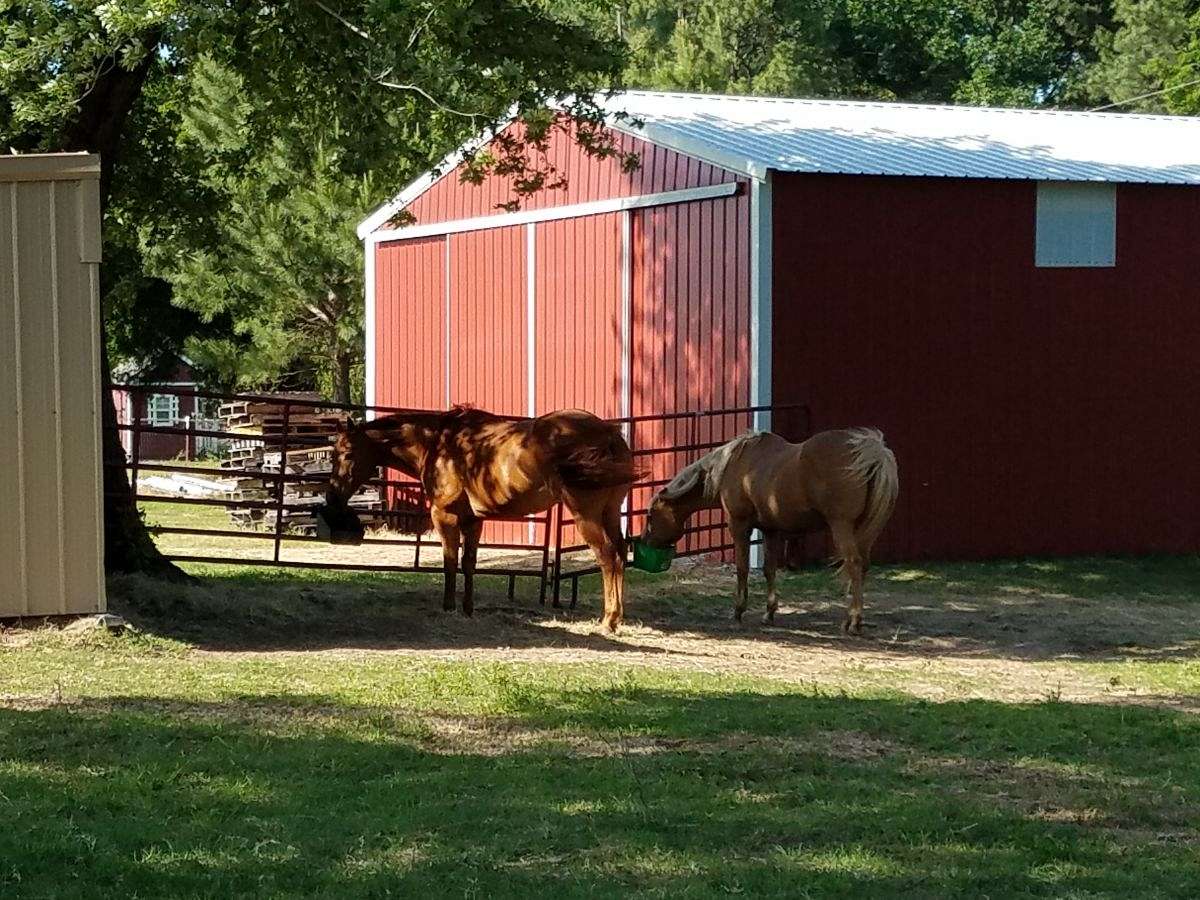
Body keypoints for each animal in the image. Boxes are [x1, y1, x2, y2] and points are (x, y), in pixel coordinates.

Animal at [318, 406, 639, 631]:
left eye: (346, 454)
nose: (332, 497)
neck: (438, 444)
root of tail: (608, 434)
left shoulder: (444, 516)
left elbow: (449, 562)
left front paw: (448, 606)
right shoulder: (474, 520)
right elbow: (468, 563)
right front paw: (468, 608)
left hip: (586, 514)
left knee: (607, 556)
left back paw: (609, 620)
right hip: (610, 511)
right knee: (620, 552)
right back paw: (618, 618)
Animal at [640, 428, 898, 633]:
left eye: (650, 515)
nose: (645, 540)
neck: (735, 465)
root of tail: (872, 453)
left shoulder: (739, 525)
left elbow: (742, 568)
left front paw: (738, 610)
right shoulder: (771, 530)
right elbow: (769, 570)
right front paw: (769, 612)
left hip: (842, 526)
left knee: (854, 563)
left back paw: (853, 621)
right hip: (867, 529)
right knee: (862, 566)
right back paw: (852, 618)